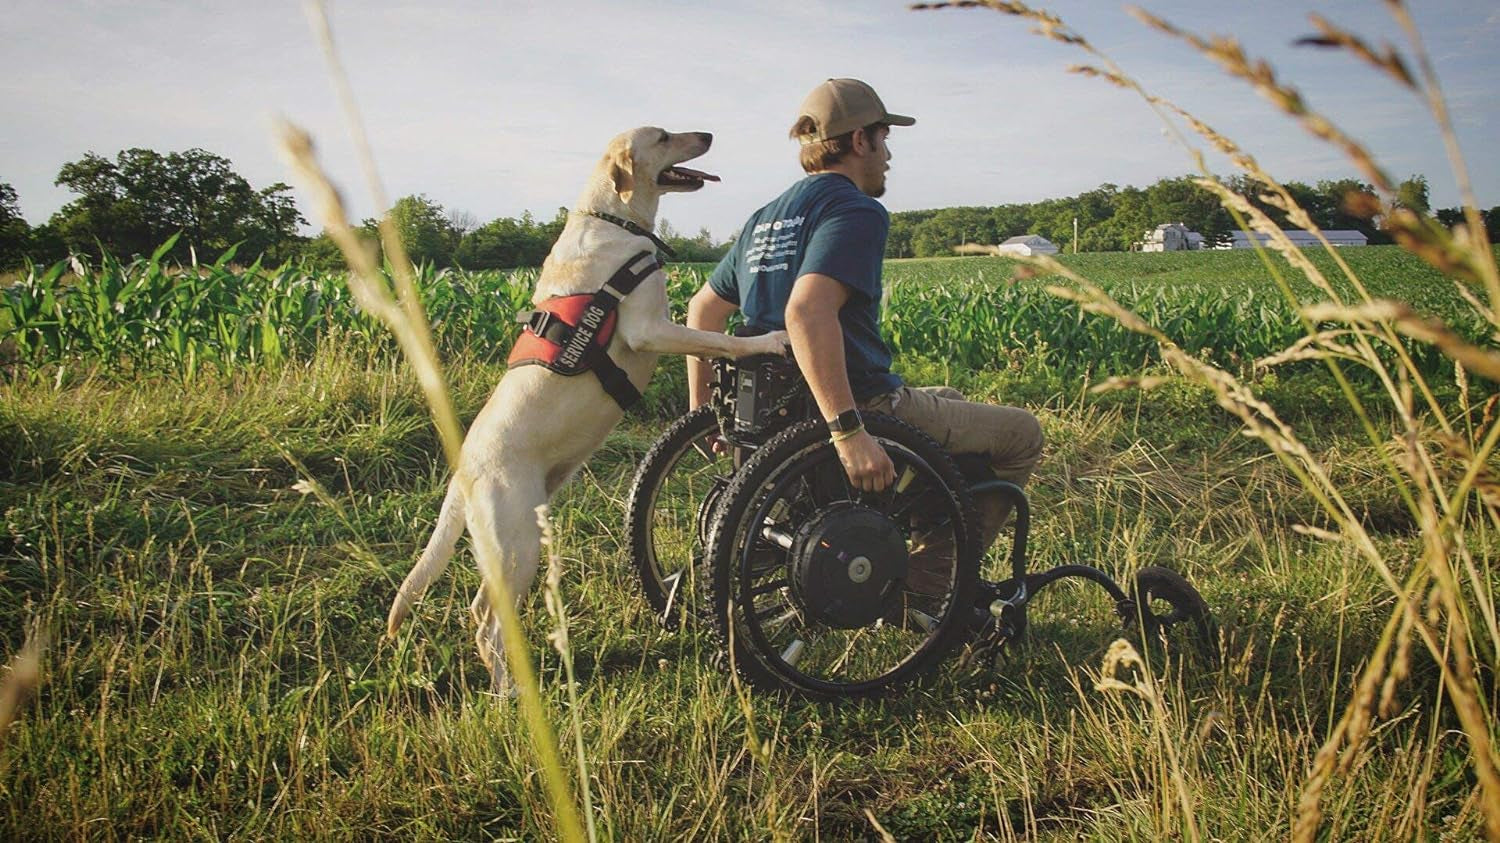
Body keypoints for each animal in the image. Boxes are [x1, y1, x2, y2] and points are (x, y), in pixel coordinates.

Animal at [384, 124, 786, 690]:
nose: (707, 133)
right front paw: (768, 340)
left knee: (484, 613)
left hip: (514, 540)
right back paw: (512, 693)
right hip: (518, 545)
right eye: (664, 136)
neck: (612, 216)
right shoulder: (650, 329)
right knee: (485, 620)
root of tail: (464, 470)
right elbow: (719, 339)